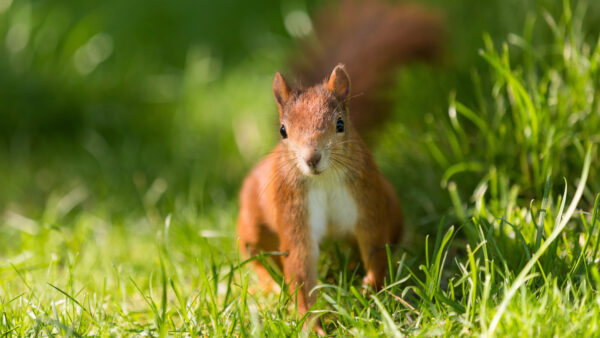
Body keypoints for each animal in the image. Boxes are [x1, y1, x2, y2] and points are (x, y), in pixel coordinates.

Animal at [236, 0, 440, 332]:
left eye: (340, 124)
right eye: (283, 130)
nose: (312, 158)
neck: (324, 180)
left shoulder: (367, 201)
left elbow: (375, 244)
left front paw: (371, 289)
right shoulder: (293, 211)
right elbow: (300, 264)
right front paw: (310, 324)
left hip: (390, 203)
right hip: (252, 221)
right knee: (253, 253)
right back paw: (271, 286)